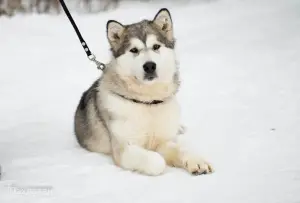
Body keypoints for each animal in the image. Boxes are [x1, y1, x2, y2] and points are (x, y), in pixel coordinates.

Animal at [74, 7, 213, 175]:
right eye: (134, 50)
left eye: (156, 46)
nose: (149, 66)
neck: (148, 102)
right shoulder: (125, 150)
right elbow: (157, 161)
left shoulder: (163, 140)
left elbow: (180, 149)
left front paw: (196, 161)